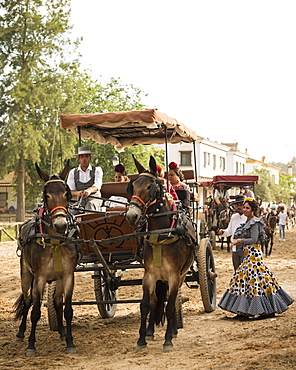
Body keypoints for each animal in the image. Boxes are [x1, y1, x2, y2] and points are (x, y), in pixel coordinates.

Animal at [13, 160, 80, 356]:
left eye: (66, 193)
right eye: (47, 194)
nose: (61, 224)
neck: (55, 241)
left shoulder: (68, 276)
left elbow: (67, 310)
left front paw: (70, 342)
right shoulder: (40, 277)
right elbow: (35, 311)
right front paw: (31, 345)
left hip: (57, 279)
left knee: (57, 302)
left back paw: (63, 332)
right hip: (26, 274)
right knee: (27, 300)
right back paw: (21, 332)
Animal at [125, 155, 197, 352]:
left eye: (150, 186)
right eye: (133, 186)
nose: (132, 215)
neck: (162, 233)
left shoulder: (173, 276)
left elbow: (170, 307)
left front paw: (168, 340)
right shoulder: (149, 275)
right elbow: (146, 305)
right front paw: (142, 339)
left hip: (181, 275)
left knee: (172, 301)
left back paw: (173, 331)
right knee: (156, 300)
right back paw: (150, 332)